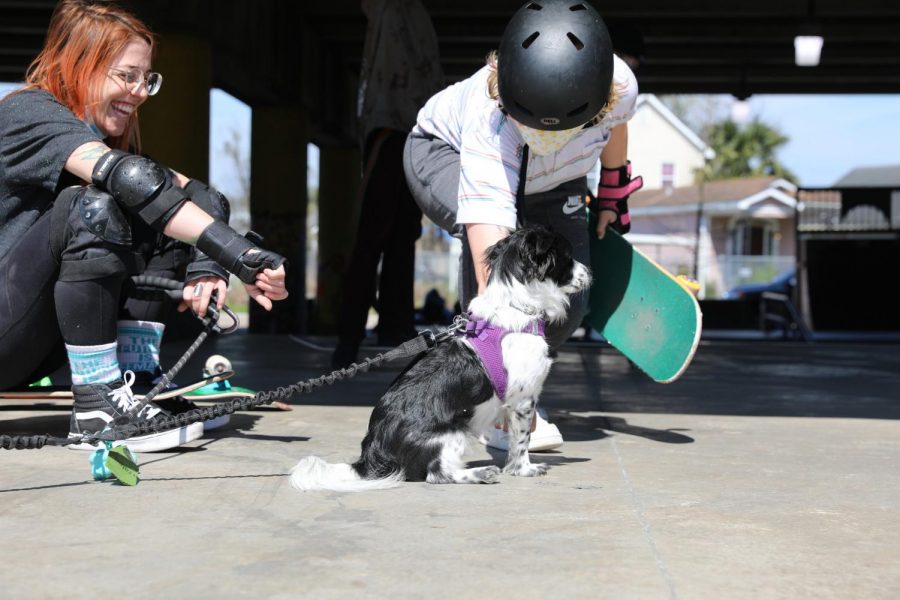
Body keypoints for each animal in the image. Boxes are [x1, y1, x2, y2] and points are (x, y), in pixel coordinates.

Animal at [292, 227, 596, 490]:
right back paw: (480, 473)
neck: (515, 305)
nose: (590, 271)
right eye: (568, 257)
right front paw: (524, 469)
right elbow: (521, 440)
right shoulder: (523, 399)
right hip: (453, 433)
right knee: (437, 474)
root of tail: (371, 455)